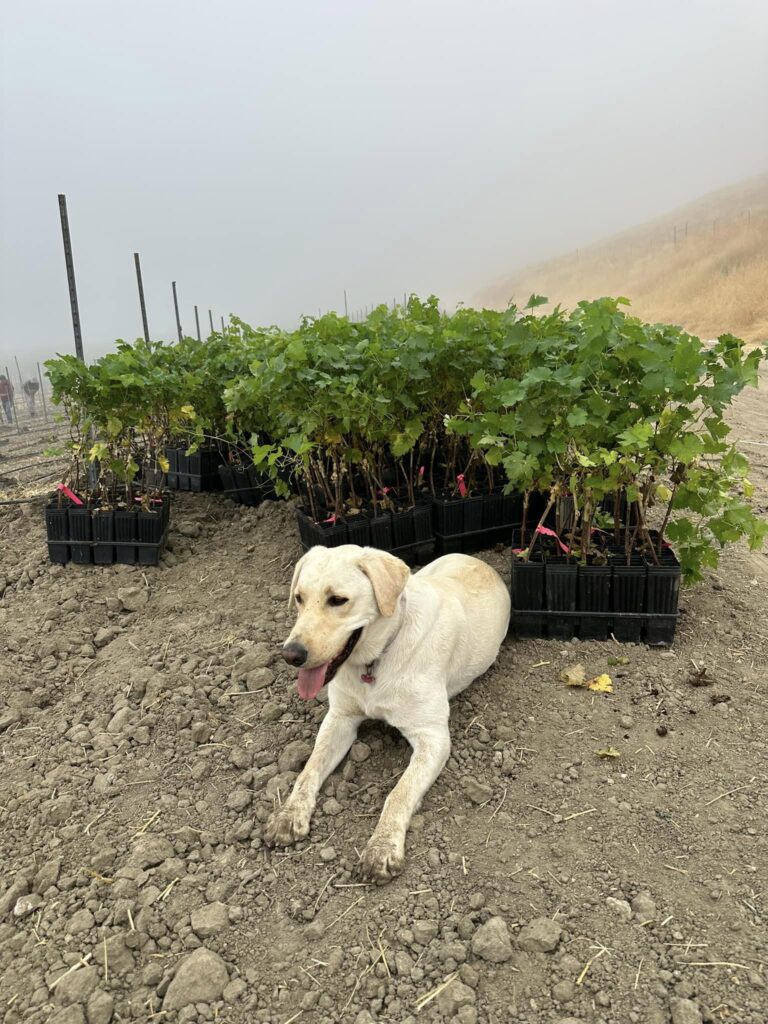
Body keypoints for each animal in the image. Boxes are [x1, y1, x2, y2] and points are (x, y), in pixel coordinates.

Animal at [264, 544, 512, 880]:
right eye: (299, 598)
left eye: (337, 600)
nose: (291, 654)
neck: (375, 661)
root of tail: (479, 562)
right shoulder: (340, 718)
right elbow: (309, 769)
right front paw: (289, 814)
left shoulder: (433, 737)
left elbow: (400, 792)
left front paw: (382, 847)